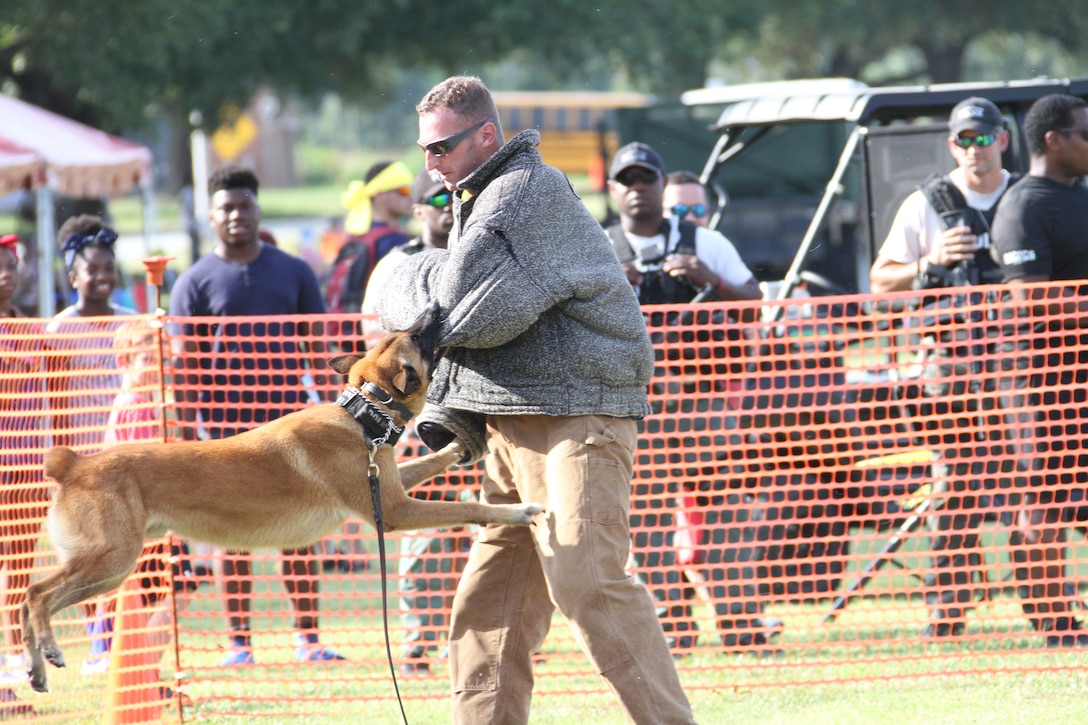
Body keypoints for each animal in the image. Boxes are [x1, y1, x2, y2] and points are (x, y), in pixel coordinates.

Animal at [21, 302, 539, 687]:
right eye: (417, 336)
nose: (434, 308)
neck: (361, 412)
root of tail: (74, 464)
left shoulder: (392, 485)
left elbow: (431, 464)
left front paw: (462, 444)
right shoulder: (393, 510)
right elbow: (467, 504)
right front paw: (518, 510)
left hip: (110, 570)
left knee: (31, 600)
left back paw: (35, 667)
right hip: (112, 559)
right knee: (35, 592)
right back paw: (46, 648)